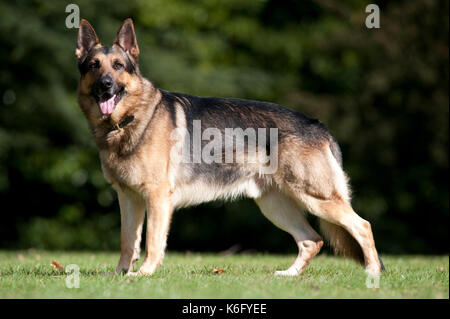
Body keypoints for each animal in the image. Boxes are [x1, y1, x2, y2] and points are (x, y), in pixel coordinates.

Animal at [74, 18, 384, 278]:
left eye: (118, 66)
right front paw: (119, 275)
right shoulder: (128, 198)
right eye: (94, 66)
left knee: (363, 226)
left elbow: (152, 242)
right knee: (312, 240)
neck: (127, 121)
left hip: (315, 198)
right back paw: (289, 275)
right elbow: (128, 242)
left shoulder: (157, 197)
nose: (106, 85)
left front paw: (143, 274)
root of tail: (318, 125)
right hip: (275, 206)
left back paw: (372, 273)